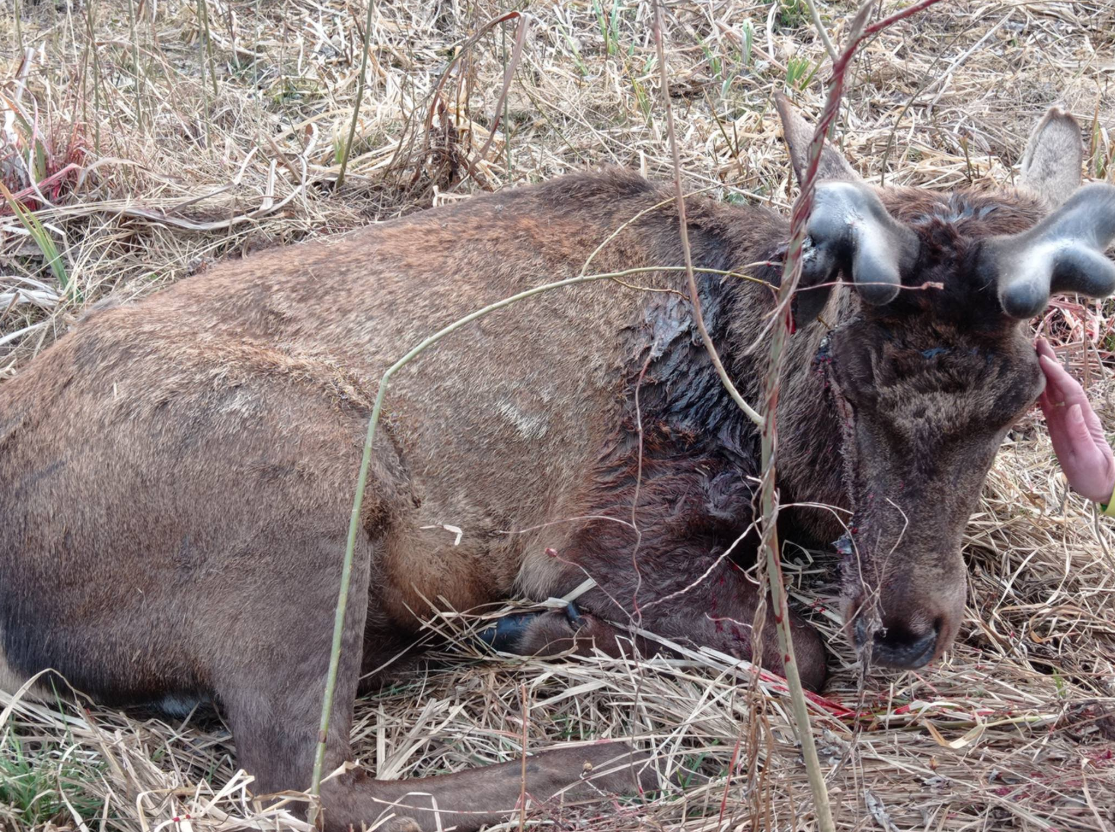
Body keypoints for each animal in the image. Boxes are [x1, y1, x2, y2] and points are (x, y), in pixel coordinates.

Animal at [2, 96, 1114, 832]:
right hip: (297, 477)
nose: (904, 630)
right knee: (301, 783)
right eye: (842, 372)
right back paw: (608, 758)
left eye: (1019, 397)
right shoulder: (610, 523)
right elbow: (797, 650)